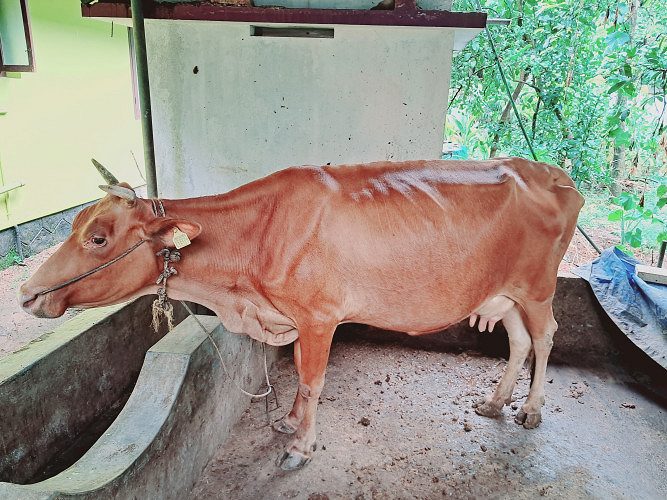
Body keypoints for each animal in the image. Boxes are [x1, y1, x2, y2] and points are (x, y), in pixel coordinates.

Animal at [20, 158, 584, 470]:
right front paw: (289, 422)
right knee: (519, 341)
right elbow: (294, 374)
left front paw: (300, 447)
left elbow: (312, 381)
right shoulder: (292, 317)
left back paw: (531, 409)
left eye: (98, 238)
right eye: (75, 224)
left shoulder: (318, 317)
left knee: (546, 337)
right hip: (503, 294)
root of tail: (553, 173)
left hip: (538, 289)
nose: (26, 293)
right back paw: (496, 402)